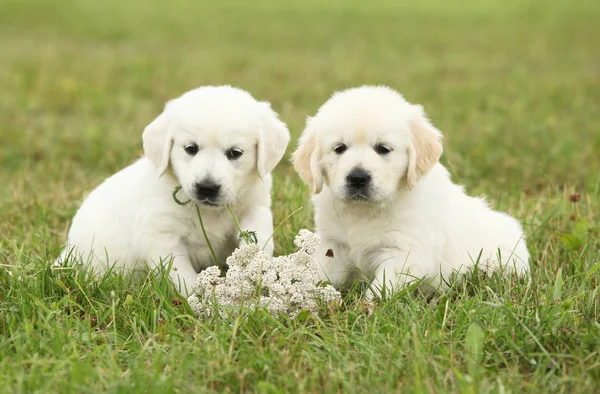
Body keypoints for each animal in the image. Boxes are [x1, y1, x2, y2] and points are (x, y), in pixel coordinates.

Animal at [58, 86, 290, 296]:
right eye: (190, 148)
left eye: (235, 153)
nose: (207, 187)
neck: (208, 212)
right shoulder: (160, 235)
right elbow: (182, 275)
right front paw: (201, 300)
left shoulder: (255, 203)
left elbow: (259, 229)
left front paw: (255, 262)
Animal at [294, 85, 528, 296]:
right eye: (339, 148)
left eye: (383, 148)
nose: (357, 178)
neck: (364, 211)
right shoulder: (333, 245)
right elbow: (320, 275)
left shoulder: (406, 253)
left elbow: (380, 291)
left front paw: (366, 310)